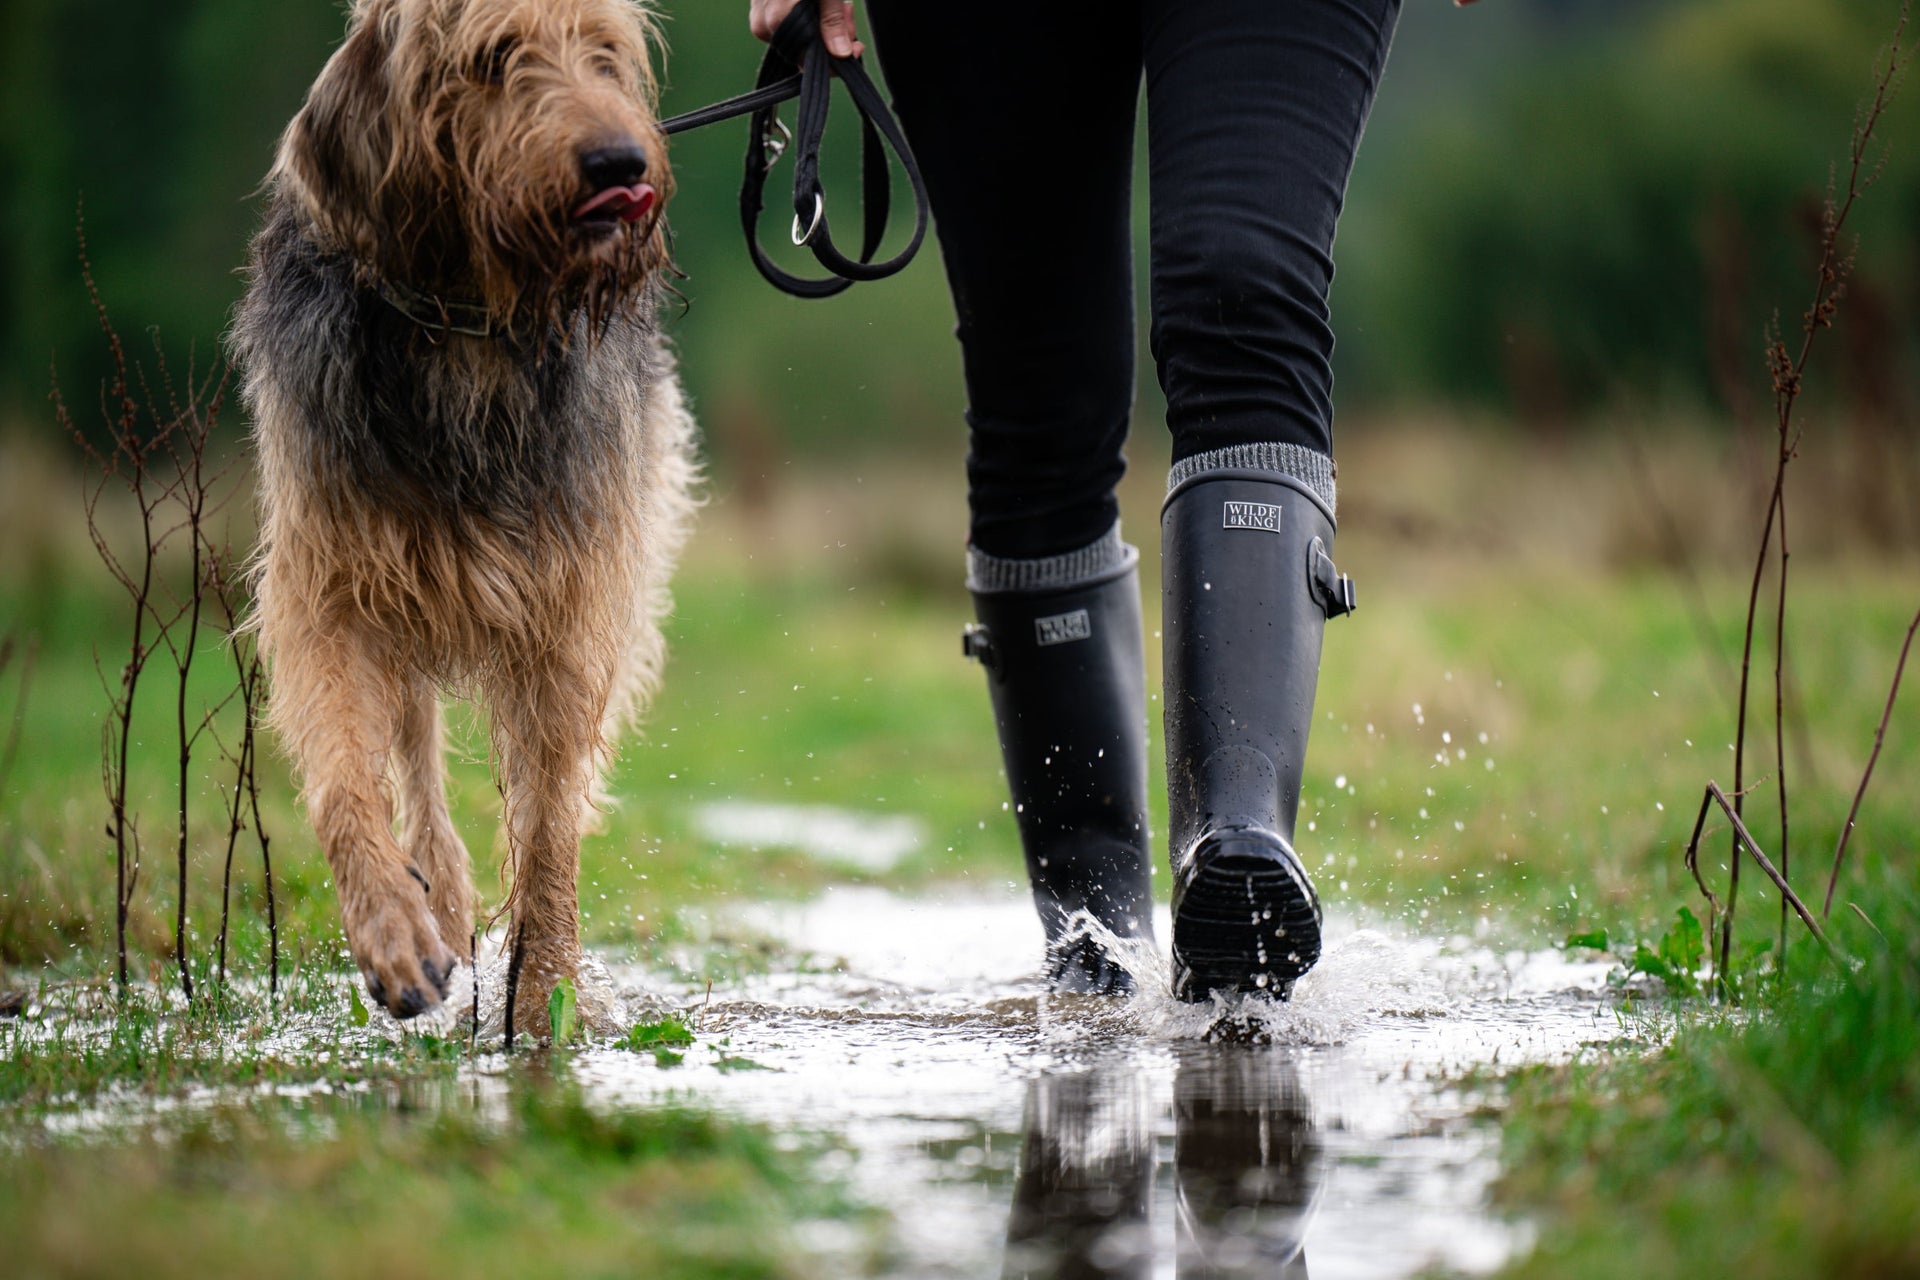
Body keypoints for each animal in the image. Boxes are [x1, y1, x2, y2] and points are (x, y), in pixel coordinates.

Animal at [232, 0, 698, 1028]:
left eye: (604, 54)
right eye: (493, 57)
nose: (619, 162)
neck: (471, 330)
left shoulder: (572, 607)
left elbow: (550, 823)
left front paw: (546, 1000)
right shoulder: (331, 583)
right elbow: (346, 783)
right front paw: (395, 928)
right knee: (414, 756)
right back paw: (436, 895)